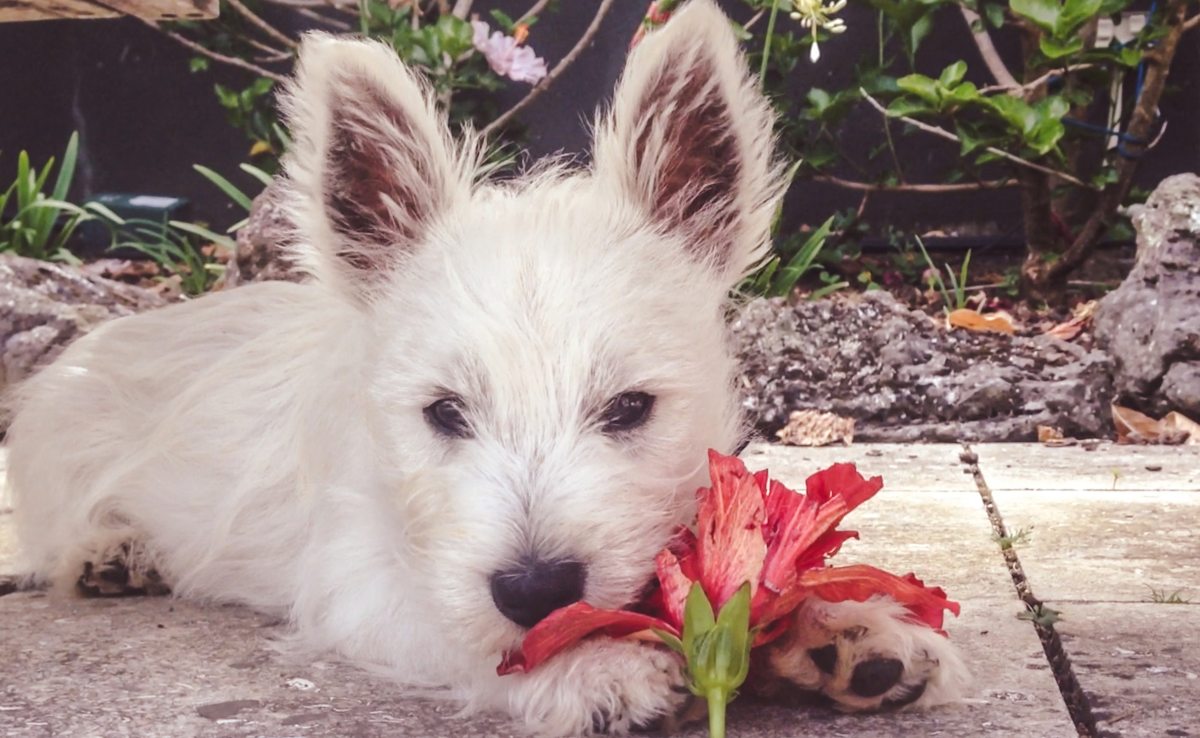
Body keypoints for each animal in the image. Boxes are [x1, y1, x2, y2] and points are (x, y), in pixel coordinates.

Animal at [4, 2, 964, 734]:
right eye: (444, 412)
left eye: (630, 407)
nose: (536, 588)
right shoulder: (360, 579)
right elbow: (464, 633)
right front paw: (588, 672)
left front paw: (847, 629)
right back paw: (110, 551)